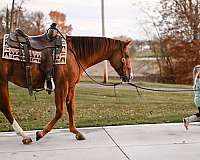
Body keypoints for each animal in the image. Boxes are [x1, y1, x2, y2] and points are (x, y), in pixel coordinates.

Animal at [0, 36, 133, 144]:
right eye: (126, 56)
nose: (130, 76)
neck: (74, 54)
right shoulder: (61, 86)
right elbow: (60, 111)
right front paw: (41, 133)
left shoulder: (71, 86)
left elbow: (71, 108)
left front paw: (76, 132)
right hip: (2, 82)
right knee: (6, 107)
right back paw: (24, 136)